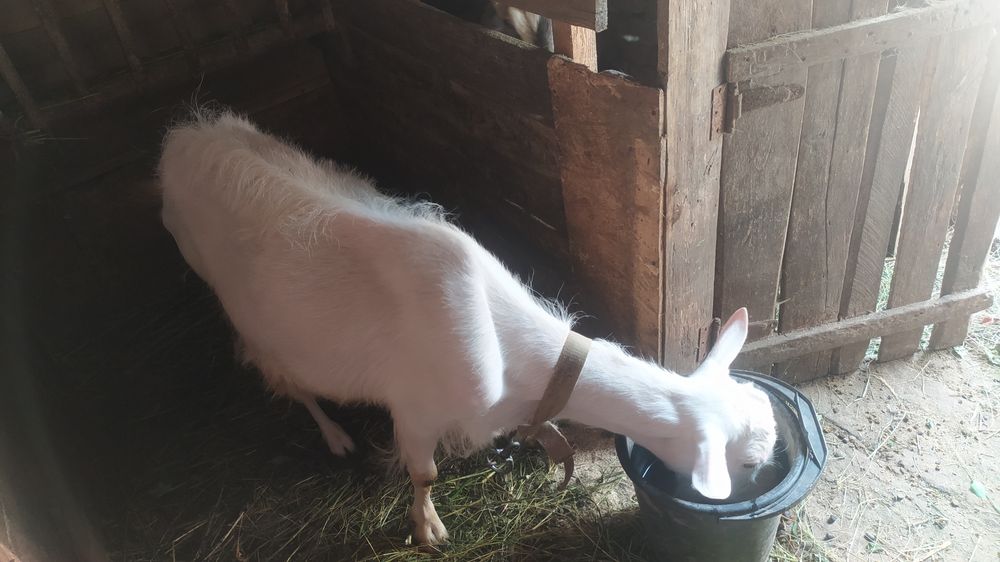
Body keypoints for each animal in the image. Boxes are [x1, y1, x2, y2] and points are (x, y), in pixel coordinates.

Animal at [157, 110, 777, 545]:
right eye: (747, 461)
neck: (518, 359)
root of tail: (183, 139)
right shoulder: (414, 406)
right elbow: (425, 473)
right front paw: (428, 529)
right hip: (227, 292)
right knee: (286, 376)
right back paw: (333, 434)